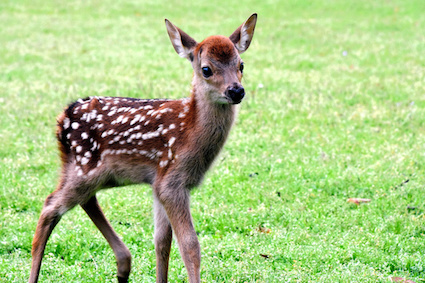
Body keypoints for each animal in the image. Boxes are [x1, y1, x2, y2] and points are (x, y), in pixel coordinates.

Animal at [29, 13, 256, 283]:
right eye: (206, 69)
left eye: (241, 65)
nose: (236, 90)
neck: (189, 132)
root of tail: (62, 118)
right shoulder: (172, 181)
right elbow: (190, 245)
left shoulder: (159, 183)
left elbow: (162, 241)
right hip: (85, 166)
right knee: (50, 206)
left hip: (88, 171)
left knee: (83, 200)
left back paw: (123, 265)